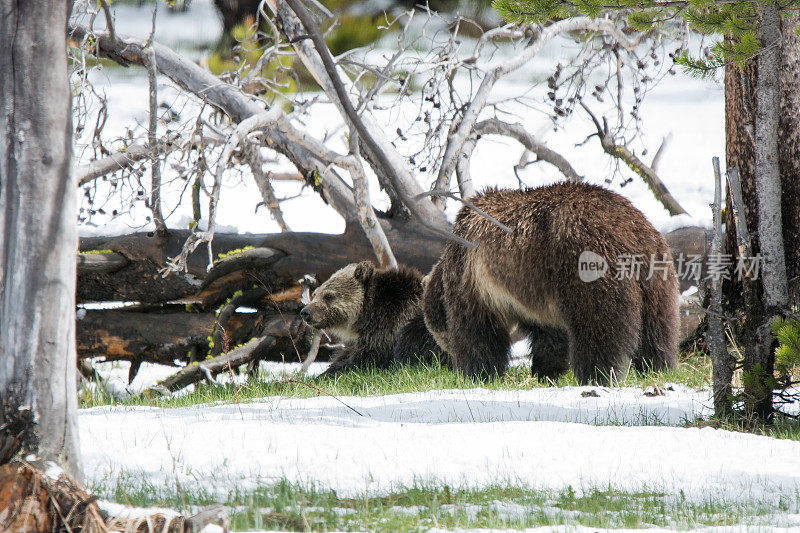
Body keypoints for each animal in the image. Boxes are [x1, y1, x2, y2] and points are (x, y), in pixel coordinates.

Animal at [404, 183, 680, 382]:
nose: (448, 359)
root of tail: (632, 234)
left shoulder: (474, 279)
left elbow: (478, 332)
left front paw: (477, 373)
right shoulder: (536, 293)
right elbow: (551, 336)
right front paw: (546, 371)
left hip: (587, 266)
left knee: (598, 327)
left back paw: (596, 374)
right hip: (657, 274)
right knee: (657, 328)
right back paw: (657, 367)